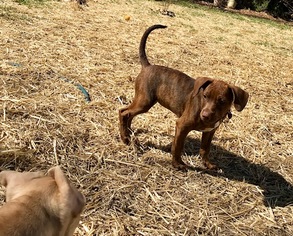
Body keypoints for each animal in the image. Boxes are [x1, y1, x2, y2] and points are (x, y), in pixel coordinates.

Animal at [118, 24, 249, 171]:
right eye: (205, 96)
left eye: (222, 101)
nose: (205, 116)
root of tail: (148, 66)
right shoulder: (182, 125)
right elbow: (178, 147)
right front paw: (177, 164)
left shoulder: (209, 132)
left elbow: (205, 149)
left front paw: (207, 164)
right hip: (144, 101)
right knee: (124, 112)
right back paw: (125, 138)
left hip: (143, 101)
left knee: (129, 114)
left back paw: (129, 133)